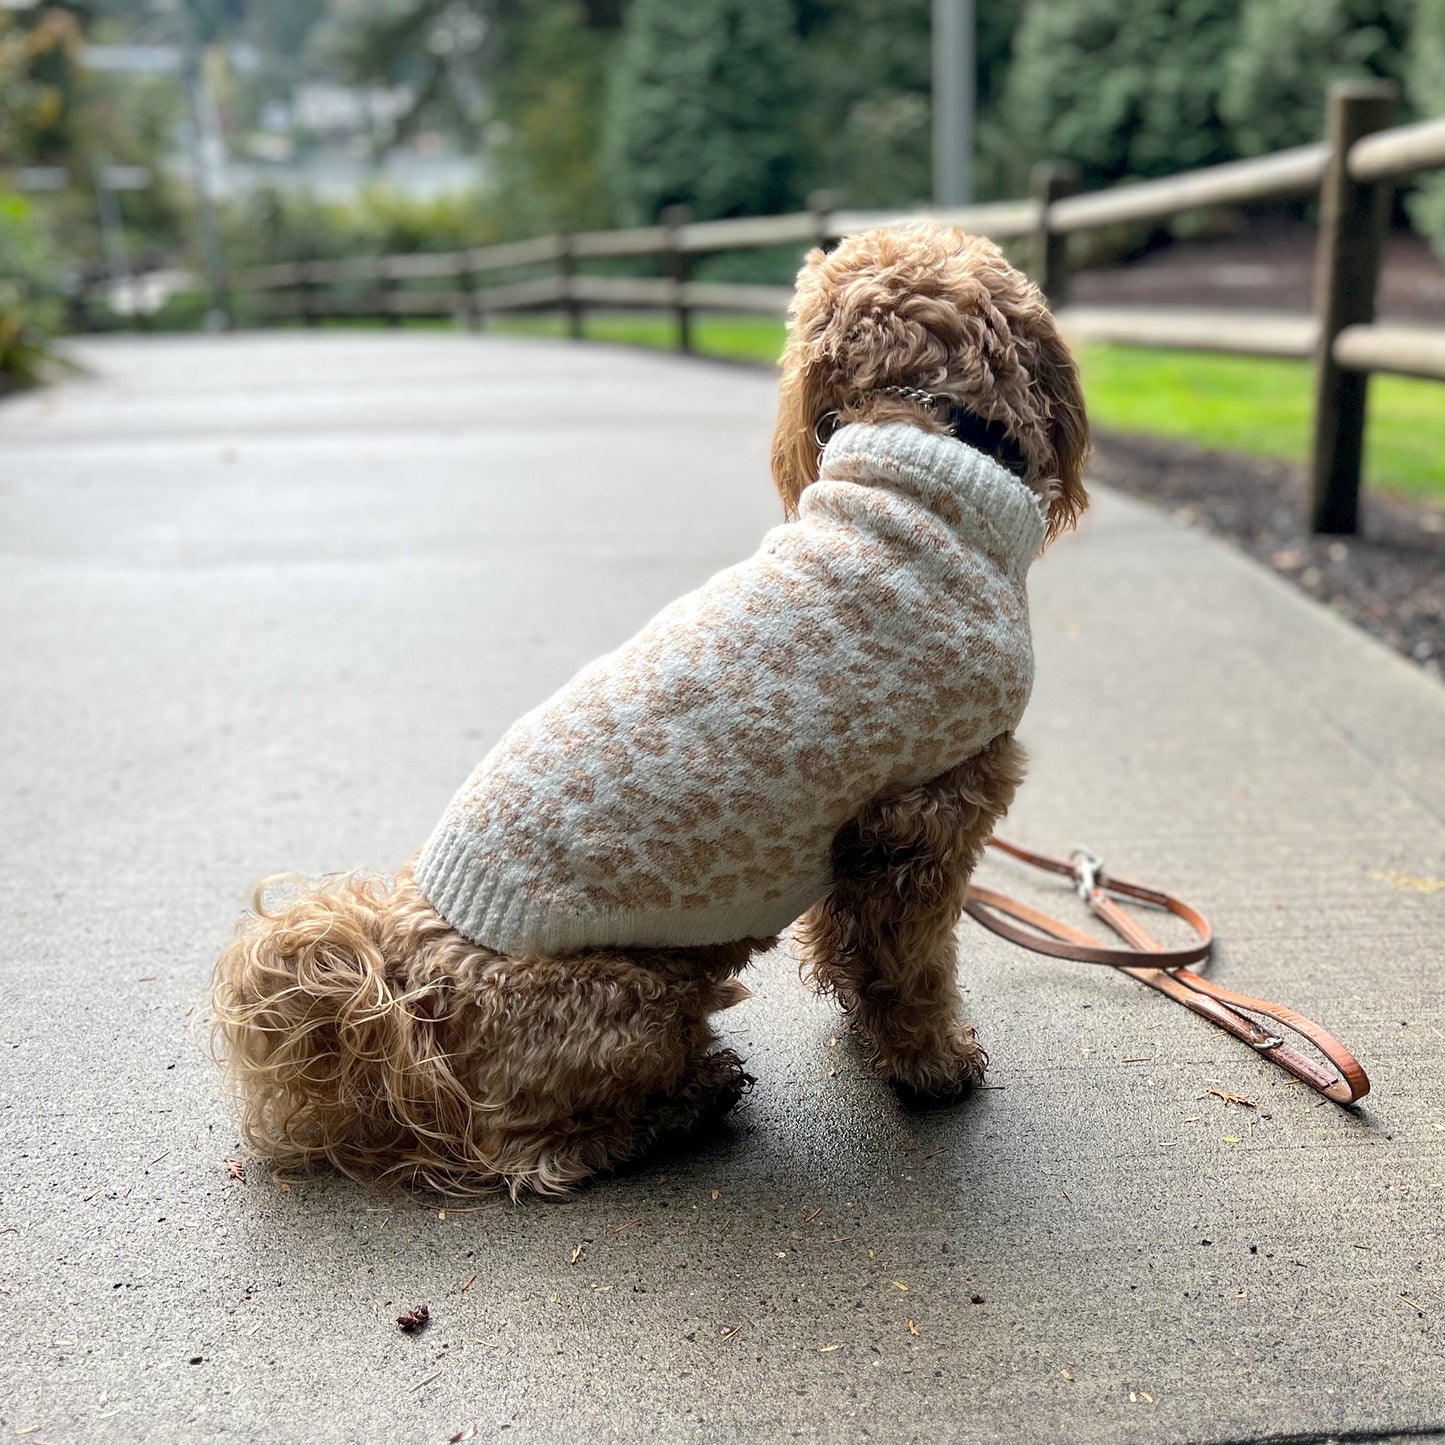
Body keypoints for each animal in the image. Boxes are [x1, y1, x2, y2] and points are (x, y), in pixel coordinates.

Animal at [209, 222, 1086, 1196]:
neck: (917, 469)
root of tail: (402, 981)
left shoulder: (860, 837)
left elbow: (853, 954)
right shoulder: (924, 820)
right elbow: (913, 970)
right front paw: (932, 1066)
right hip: (632, 1001)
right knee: (527, 1150)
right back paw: (681, 1104)